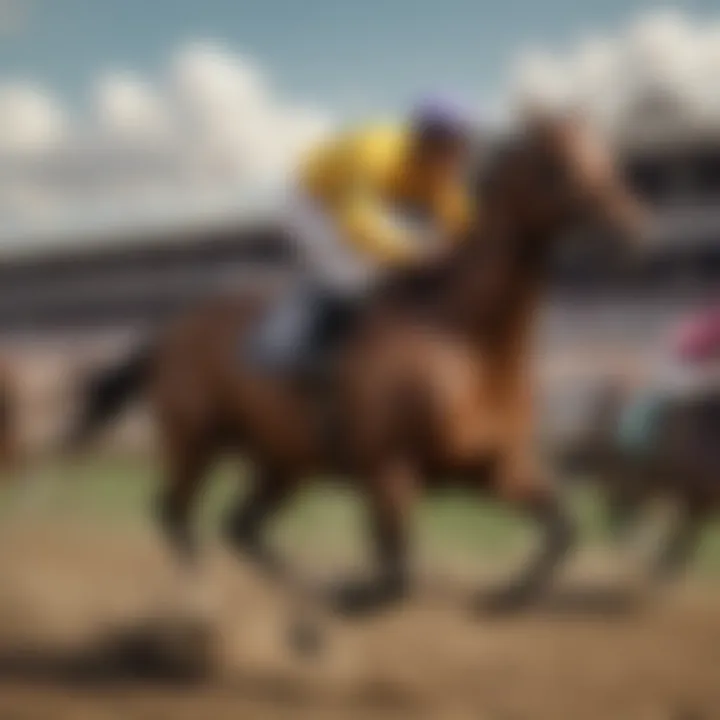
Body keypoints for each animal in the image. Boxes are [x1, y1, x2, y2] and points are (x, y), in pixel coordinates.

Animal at [69, 114, 648, 620]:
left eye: (606, 158)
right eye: (555, 164)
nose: (630, 231)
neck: (462, 338)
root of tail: (169, 331)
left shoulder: (494, 468)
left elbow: (562, 529)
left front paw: (501, 599)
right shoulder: (387, 467)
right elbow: (397, 577)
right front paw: (343, 599)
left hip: (284, 459)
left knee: (241, 528)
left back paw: (303, 607)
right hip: (196, 439)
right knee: (173, 514)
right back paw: (205, 607)